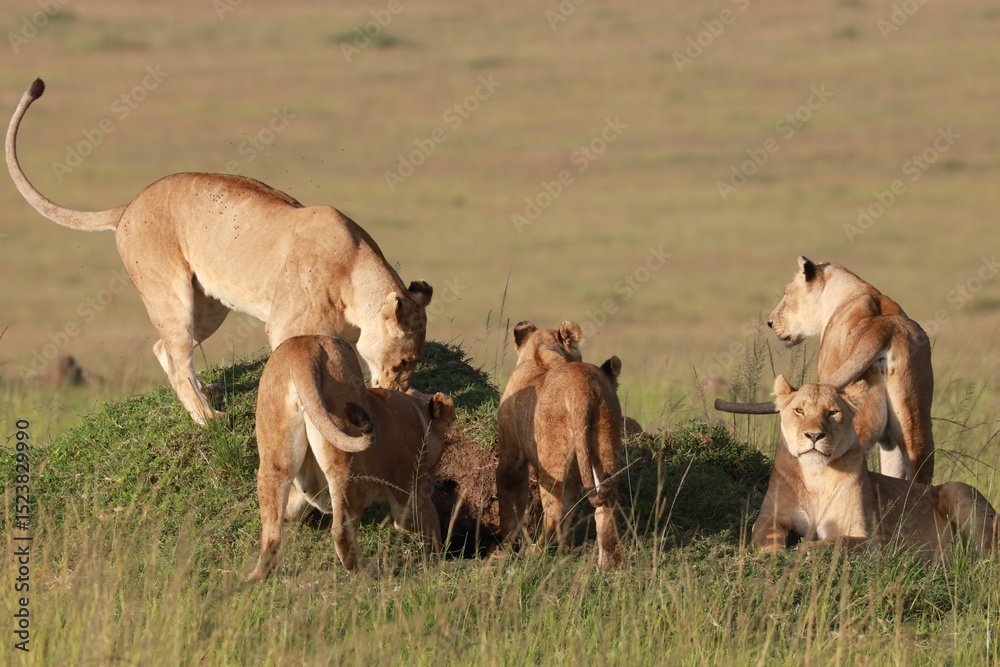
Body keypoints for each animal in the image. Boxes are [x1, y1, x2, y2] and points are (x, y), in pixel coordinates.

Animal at [7, 79, 432, 425]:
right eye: (403, 361)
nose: (398, 391)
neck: (356, 279)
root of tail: (130, 204)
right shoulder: (284, 327)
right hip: (171, 296)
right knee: (177, 359)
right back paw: (208, 418)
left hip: (209, 307)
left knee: (164, 349)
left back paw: (207, 393)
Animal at [250, 335, 455, 579]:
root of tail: (304, 350)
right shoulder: (410, 489)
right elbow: (428, 523)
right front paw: (439, 556)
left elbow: (290, 513)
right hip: (348, 460)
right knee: (341, 531)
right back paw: (370, 572)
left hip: (274, 463)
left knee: (272, 534)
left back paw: (256, 577)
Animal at [496, 320, 624, 570]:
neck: (540, 355)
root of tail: (583, 389)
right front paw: (566, 548)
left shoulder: (510, 453)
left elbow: (509, 499)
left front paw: (505, 546)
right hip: (606, 442)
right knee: (606, 507)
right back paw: (609, 565)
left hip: (551, 460)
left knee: (553, 514)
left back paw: (536, 552)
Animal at [752, 375, 998, 564]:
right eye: (799, 411)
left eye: (832, 412)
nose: (814, 435)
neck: (815, 475)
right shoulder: (769, 516)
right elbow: (766, 535)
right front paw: (772, 554)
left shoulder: (868, 538)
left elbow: (836, 541)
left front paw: (804, 549)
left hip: (957, 490)